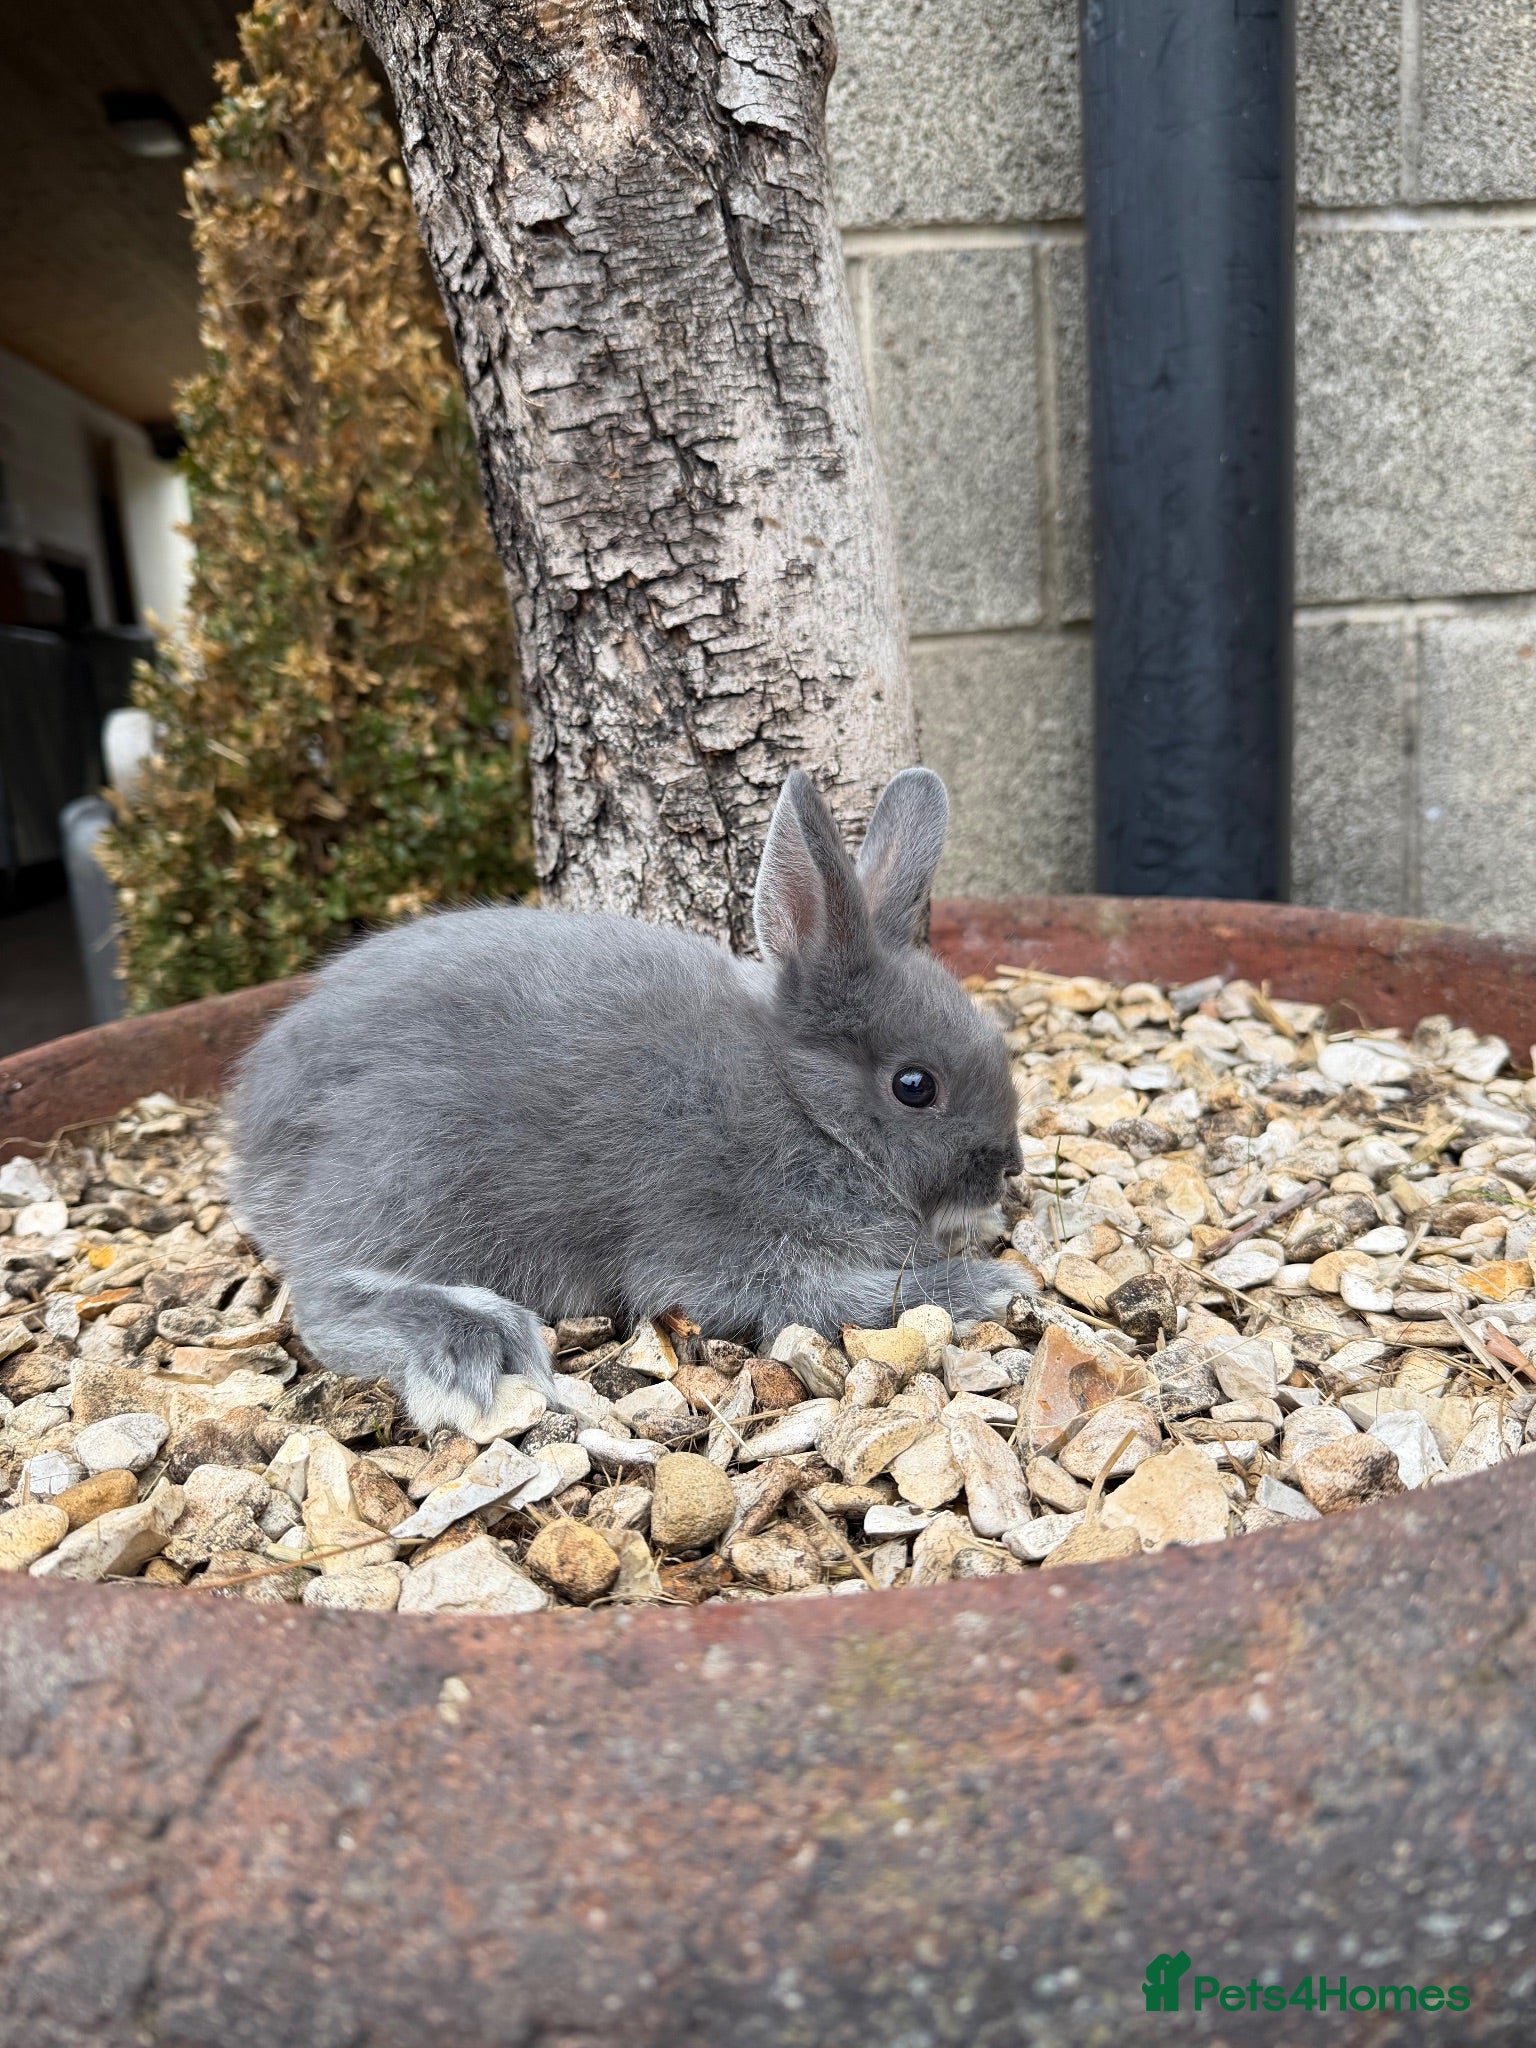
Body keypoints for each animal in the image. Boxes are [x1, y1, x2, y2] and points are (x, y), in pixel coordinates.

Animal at [227, 767, 1025, 1434]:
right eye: (914, 1086)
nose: (1009, 1168)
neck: (801, 1102)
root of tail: (251, 1136)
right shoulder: (728, 1255)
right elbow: (856, 1299)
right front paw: (990, 1287)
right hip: (409, 1174)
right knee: (325, 1298)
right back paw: (475, 1341)